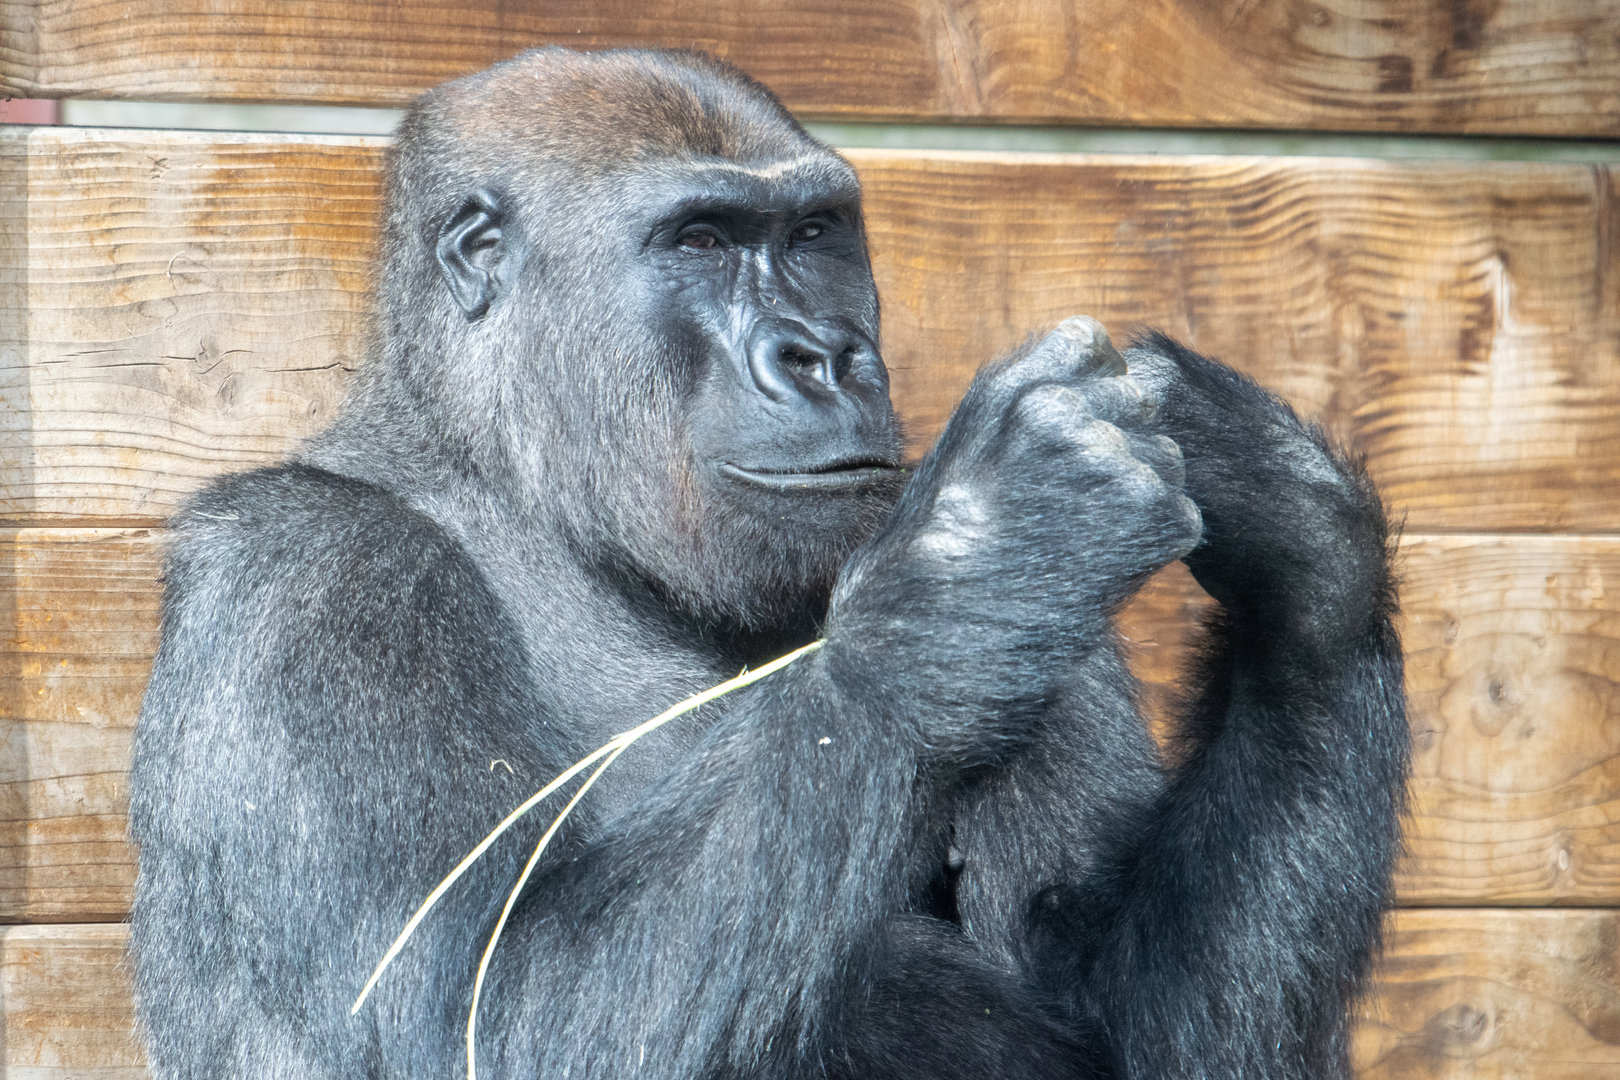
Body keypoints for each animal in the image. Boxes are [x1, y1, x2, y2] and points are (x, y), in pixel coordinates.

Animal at [129, 46, 1407, 1080]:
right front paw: (983, 558)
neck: (522, 490)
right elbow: (480, 1018)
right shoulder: (309, 579)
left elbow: (1145, 1026)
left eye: (814, 235)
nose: (827, 353)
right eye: (701, 240)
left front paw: (1303, 542)